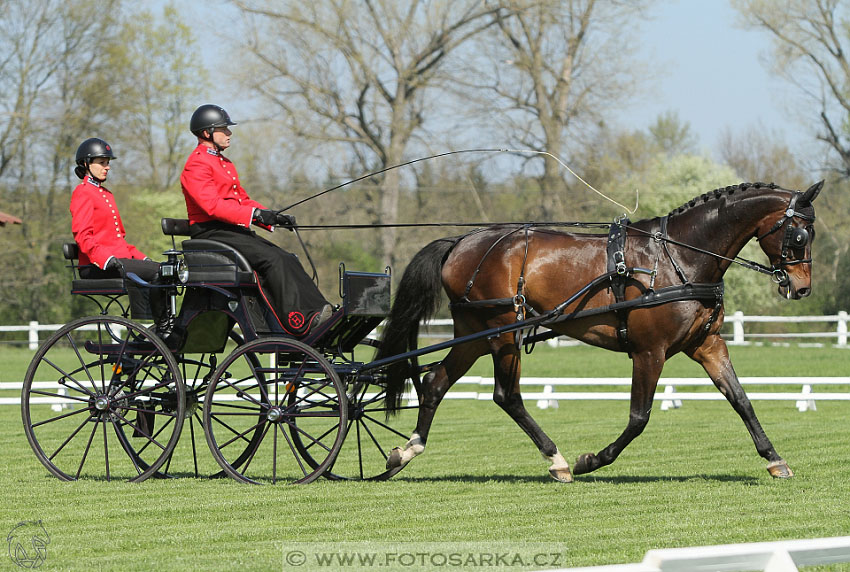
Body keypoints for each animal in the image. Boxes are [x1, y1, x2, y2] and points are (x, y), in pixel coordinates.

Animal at [376, 181, 820, 480]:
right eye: (800, 234)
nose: (801, 287)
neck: (678, 257)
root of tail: (462, 240)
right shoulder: (649, 352)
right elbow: (639, 417)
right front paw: (592, 460)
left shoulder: (707, 345)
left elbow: (741, 400)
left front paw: (774, 459)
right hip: (503, 331)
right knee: (507, 395)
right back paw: (557, 460)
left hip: (476, 333)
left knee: (436, 381)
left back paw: (405, 452)